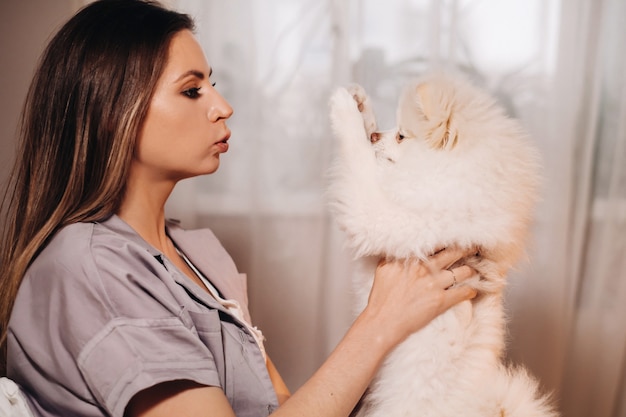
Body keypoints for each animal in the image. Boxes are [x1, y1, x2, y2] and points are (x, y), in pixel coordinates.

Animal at [326, 74, 556, 416]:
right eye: (393, 129)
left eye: (402, 136)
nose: (378, 135)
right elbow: (368, 156)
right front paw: (360, 104)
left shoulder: (384, 217)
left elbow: (360, 159)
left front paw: (344, 110)